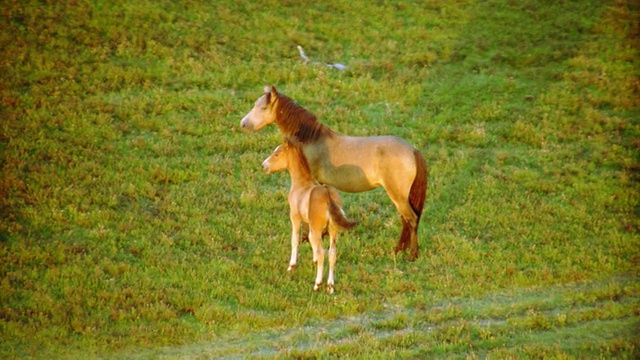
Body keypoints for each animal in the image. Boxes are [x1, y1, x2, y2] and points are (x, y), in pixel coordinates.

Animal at [242, 86, 428, 260]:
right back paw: (399, 250)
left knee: (411, 219)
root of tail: (413, 150)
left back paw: (412, 254)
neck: (312, 140)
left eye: (263, 108)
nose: (243, 124)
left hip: (397, 194)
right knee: (406, 219)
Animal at [262, 138, 358, 292]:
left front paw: (291, 266)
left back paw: (317, 284)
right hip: (334, 230)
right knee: (332, 254)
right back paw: (330, 286)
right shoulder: (310, 224)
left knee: (322, 252)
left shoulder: (295, 217)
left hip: (318, 227)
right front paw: (314, 261)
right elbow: (311, 239)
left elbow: (295, 239)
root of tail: (328, 195)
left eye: (276, 154)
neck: (302, 184)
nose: (264, 166)